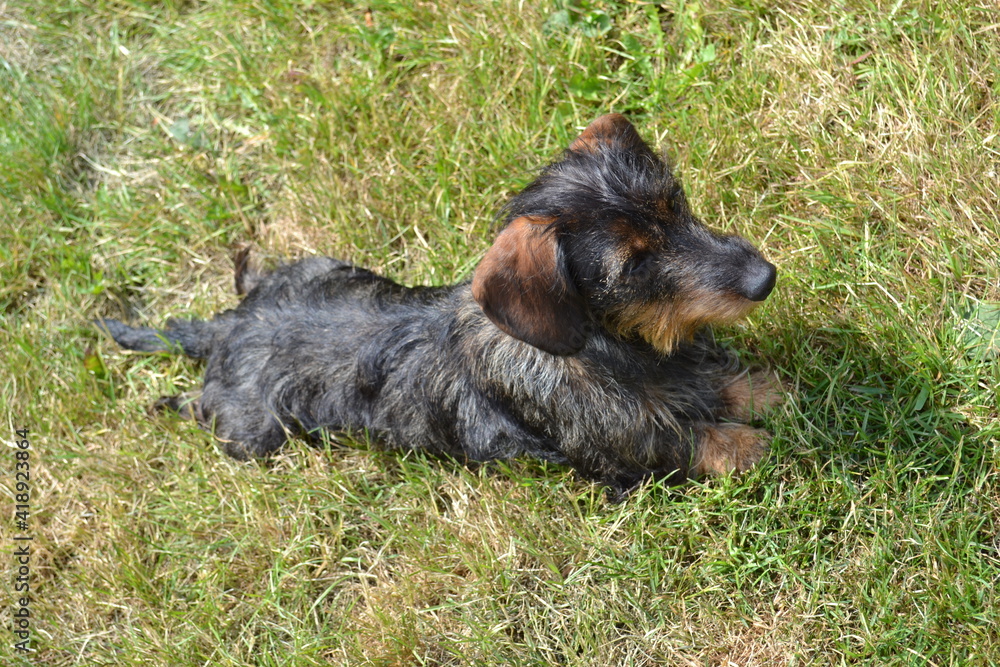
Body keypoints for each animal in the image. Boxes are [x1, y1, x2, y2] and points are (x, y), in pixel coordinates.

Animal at [95, 115, 780, 498]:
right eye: (632, 264)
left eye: (674, 202)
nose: (764, 278)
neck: (616, 348)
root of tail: (229, 329)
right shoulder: (620, 452)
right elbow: (691, 440)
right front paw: (753, 445)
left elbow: (714, 383)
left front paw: (761, 390)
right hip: (254, 435)